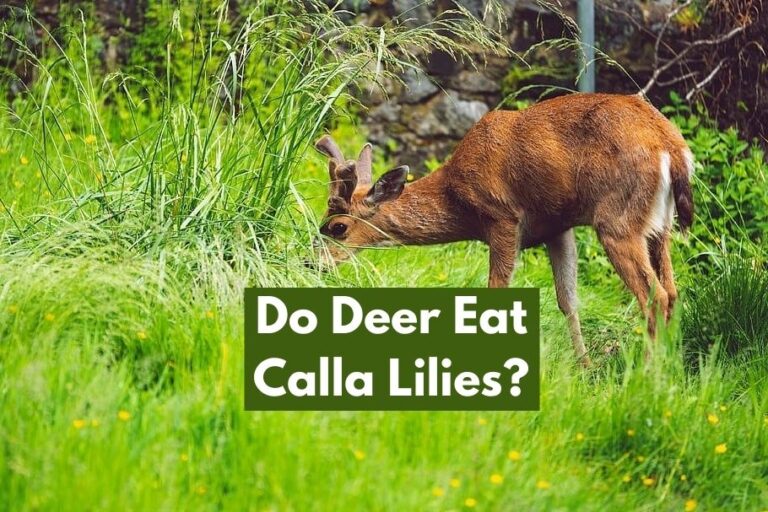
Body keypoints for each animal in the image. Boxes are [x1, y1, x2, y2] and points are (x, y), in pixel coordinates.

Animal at [313, 93, 694, 366]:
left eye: (338, 227)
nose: (313, 263)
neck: (456, 197)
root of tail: (671, 148)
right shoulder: (557, 227)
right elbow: (568, 300)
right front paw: (585, 367)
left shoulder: (502, 217)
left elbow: (496, 291)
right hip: (659, 226)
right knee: (673, 291)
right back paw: (669, 367)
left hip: (616, 220)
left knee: (655, 296)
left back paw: (647, 372)